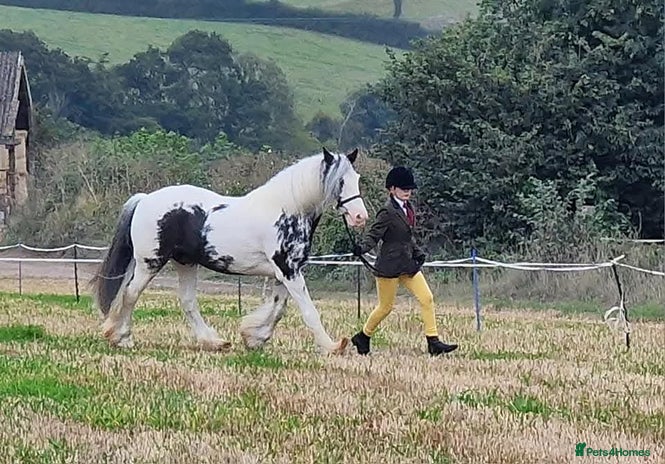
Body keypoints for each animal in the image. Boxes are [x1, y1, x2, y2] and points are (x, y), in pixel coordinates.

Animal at [89, 148, 368, 355]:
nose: (360, 217)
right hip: (150, 262)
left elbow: (278, 308)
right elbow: (308, 311)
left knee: (187, 302)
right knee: (130, 294)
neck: (287, 210)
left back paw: (214, 342)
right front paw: (333, 346)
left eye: (357, 179)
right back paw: (122, 338)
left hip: (185, 263)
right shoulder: (289, 271)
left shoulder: (284, 273)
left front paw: (254, 337)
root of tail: (144, 199)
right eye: (340, 181)